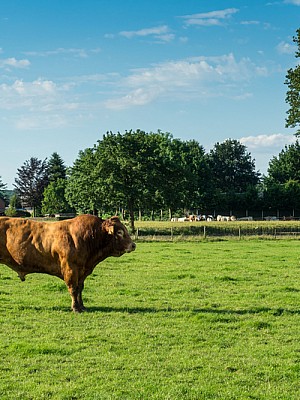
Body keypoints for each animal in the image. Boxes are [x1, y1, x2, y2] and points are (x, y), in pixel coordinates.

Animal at [0, 214, 136, 310]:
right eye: (120, 232)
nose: (133, 245)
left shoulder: (82, 271)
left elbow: (80, 288)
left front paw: (82, 306)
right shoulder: (70, 269)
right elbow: (73, 289)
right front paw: (75, 308)